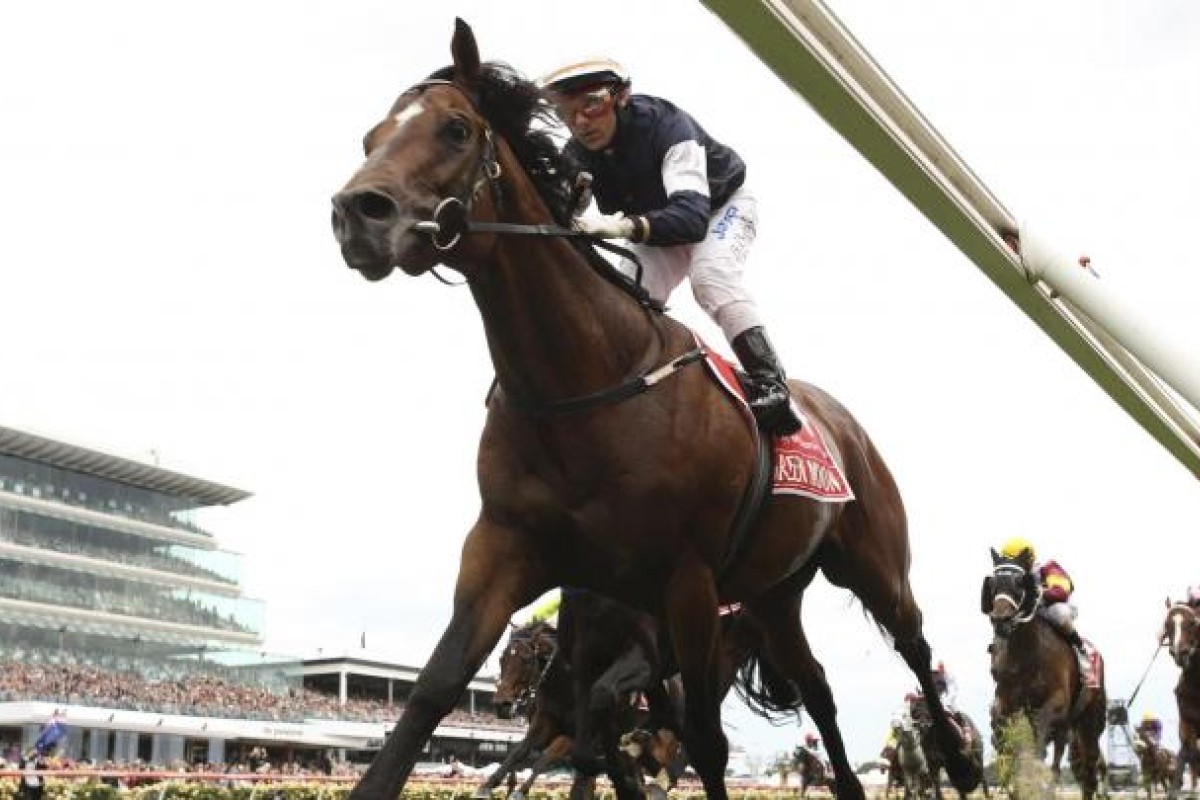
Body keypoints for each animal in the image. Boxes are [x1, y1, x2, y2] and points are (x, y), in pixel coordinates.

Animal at [328, 17, 974, 800]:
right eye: (371, 136)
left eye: (455, 128)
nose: (357, 214)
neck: (581, 385)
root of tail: (840, 420)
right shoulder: (505, 547)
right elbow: (434, 690)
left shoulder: (685, 583)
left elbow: (702, 740)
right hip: (773, 594)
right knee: (817, 687)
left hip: (873, 564)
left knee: (914, 642)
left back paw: (963, 761)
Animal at [984, 551, 1104, 800]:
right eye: (993, 584)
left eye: (1019, 583)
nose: (1000, 619)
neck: (1026, 653)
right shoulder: (1006, 701)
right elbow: (1005, 740)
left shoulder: (1054, 704)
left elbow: (1038, 747)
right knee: (1062, 762)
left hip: (1089, 722)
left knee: (1088, 772)